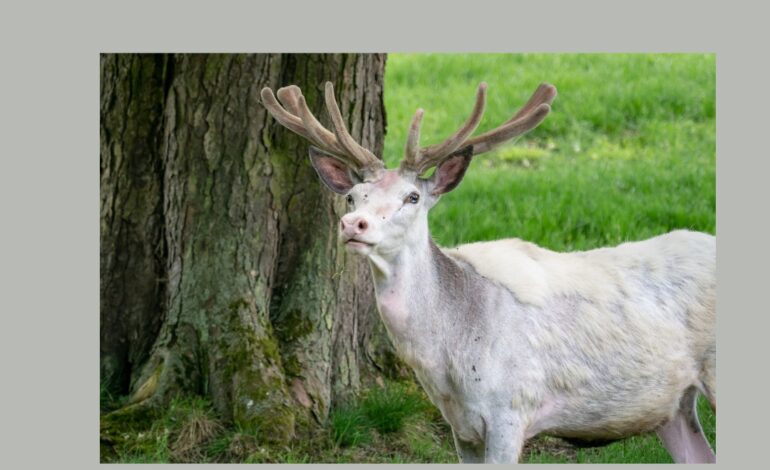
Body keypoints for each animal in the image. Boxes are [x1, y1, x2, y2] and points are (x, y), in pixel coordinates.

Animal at [262, 81, 712, 462]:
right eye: (354, 196)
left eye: (412, 197)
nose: (353, 224)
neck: (451, 360)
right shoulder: (461, 428)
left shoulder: (511, 410)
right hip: (673, 406)